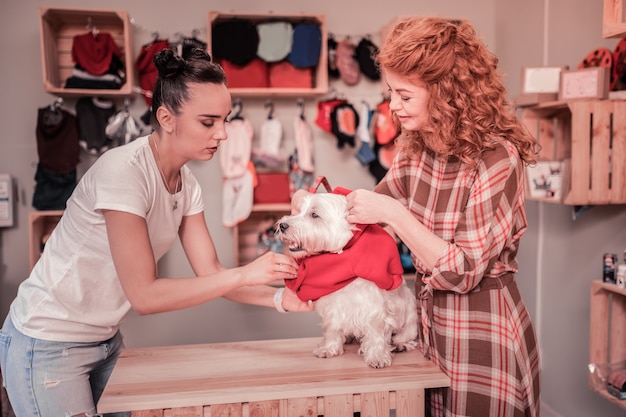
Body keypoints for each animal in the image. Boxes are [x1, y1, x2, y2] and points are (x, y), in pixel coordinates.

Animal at [276, 192, 414, 368]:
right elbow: (333, 328)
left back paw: (402, 344)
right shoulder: (332, 307)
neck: (339, 261)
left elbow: (376, 332)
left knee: (407, 332)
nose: (282, 225)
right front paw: (329, 348)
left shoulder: (375, 308)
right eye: (299, 210)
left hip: (411, 311)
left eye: (314, 214)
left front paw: (377, 356)